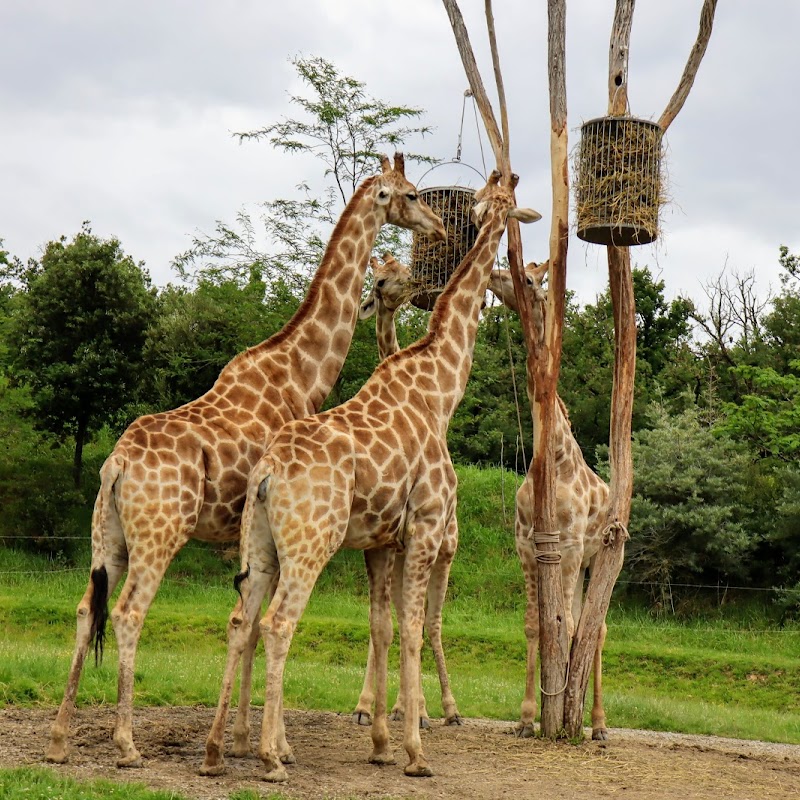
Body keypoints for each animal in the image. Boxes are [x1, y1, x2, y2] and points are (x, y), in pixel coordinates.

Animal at [45, 152, 444, 768]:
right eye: (412, 194)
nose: (442, 229)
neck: (300, 372)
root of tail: (115, 466)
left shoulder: (249, 530)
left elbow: (247, 622)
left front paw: (239, 740)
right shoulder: (258, 526)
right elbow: (256, 623)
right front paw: (260, 743)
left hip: (105, 535)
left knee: (89, 609)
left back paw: (61, 739)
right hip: (160, 533)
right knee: (129, 611)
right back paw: (127, 744)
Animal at [198, 170, 544, 780]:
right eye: (501, 210)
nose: (513, 275)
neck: (439, 387)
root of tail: (267, 473)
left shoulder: (383, 539)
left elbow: (383, 628)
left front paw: (382, 743)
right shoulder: (425, 524)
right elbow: (411, 628)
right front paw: (415, 751)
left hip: (258, 542)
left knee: (242, 621)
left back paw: (219, 751)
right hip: (311, 542)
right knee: (277, 624)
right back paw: (272, 756)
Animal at [488, 260, 612, 740]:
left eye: (527, 278)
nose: (492, 275)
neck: (553, 459)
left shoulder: (573, 545)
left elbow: (572, 627)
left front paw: (560, 717)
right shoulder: (527, 543)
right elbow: (536, 625)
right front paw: (528, 717)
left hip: (599, 558)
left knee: (597, 628)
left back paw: (598, 723)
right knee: (582, 625)